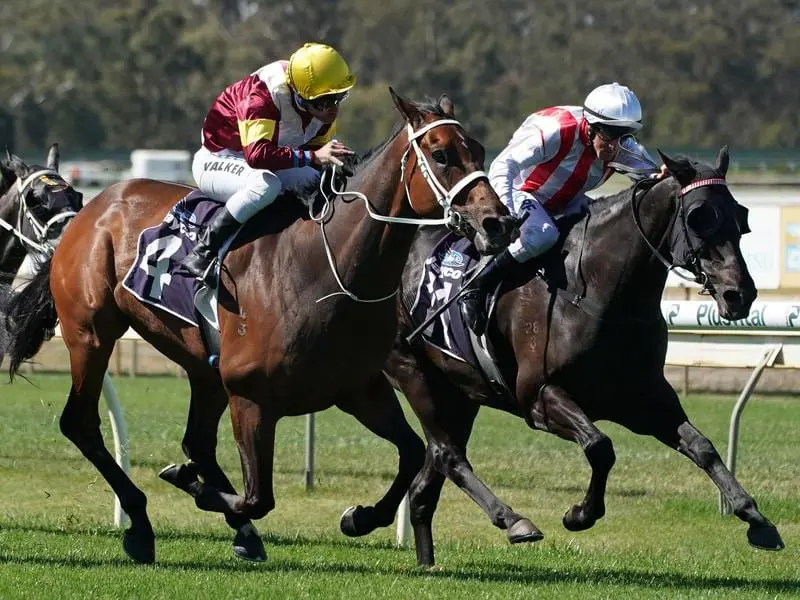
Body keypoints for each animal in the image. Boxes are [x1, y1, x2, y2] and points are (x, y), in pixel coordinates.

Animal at [384, 148, 784, 564]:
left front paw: (756, 518)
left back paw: (416, 552)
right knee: (447, 455)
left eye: (740, 216)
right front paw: (580, 514)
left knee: (429, 476)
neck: (595, 291)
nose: (740, 294)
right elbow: (600, 446)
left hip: (460, 393)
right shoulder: (538, 398)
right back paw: (513, 521)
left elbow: (702, 447)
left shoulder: (644, 399)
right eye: (699, 217)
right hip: (413, 371)